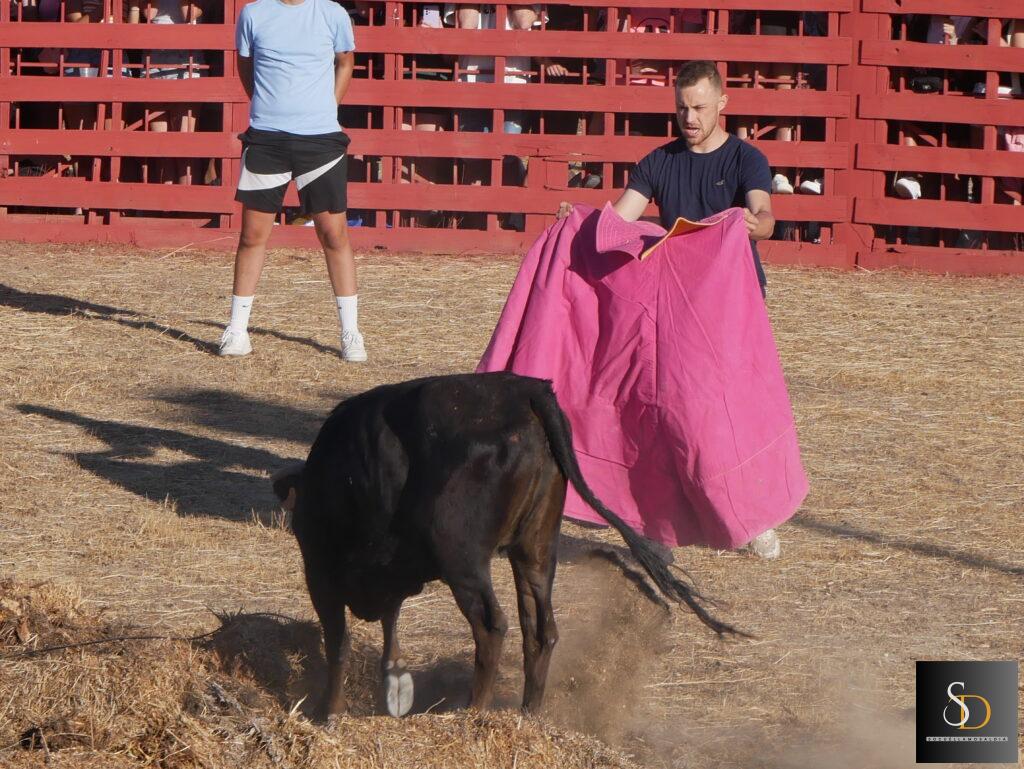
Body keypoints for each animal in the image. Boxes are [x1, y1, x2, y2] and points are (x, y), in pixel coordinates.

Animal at [272, 372, 745, 720]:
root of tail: (525, 391)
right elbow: (388, 622)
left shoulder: (321, 572)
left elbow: (339, 643)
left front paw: (328, 712)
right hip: (536, 548)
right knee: (541, 629)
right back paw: (527, 715)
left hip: (462, 557)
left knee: (491, 625)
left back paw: (473, 712)